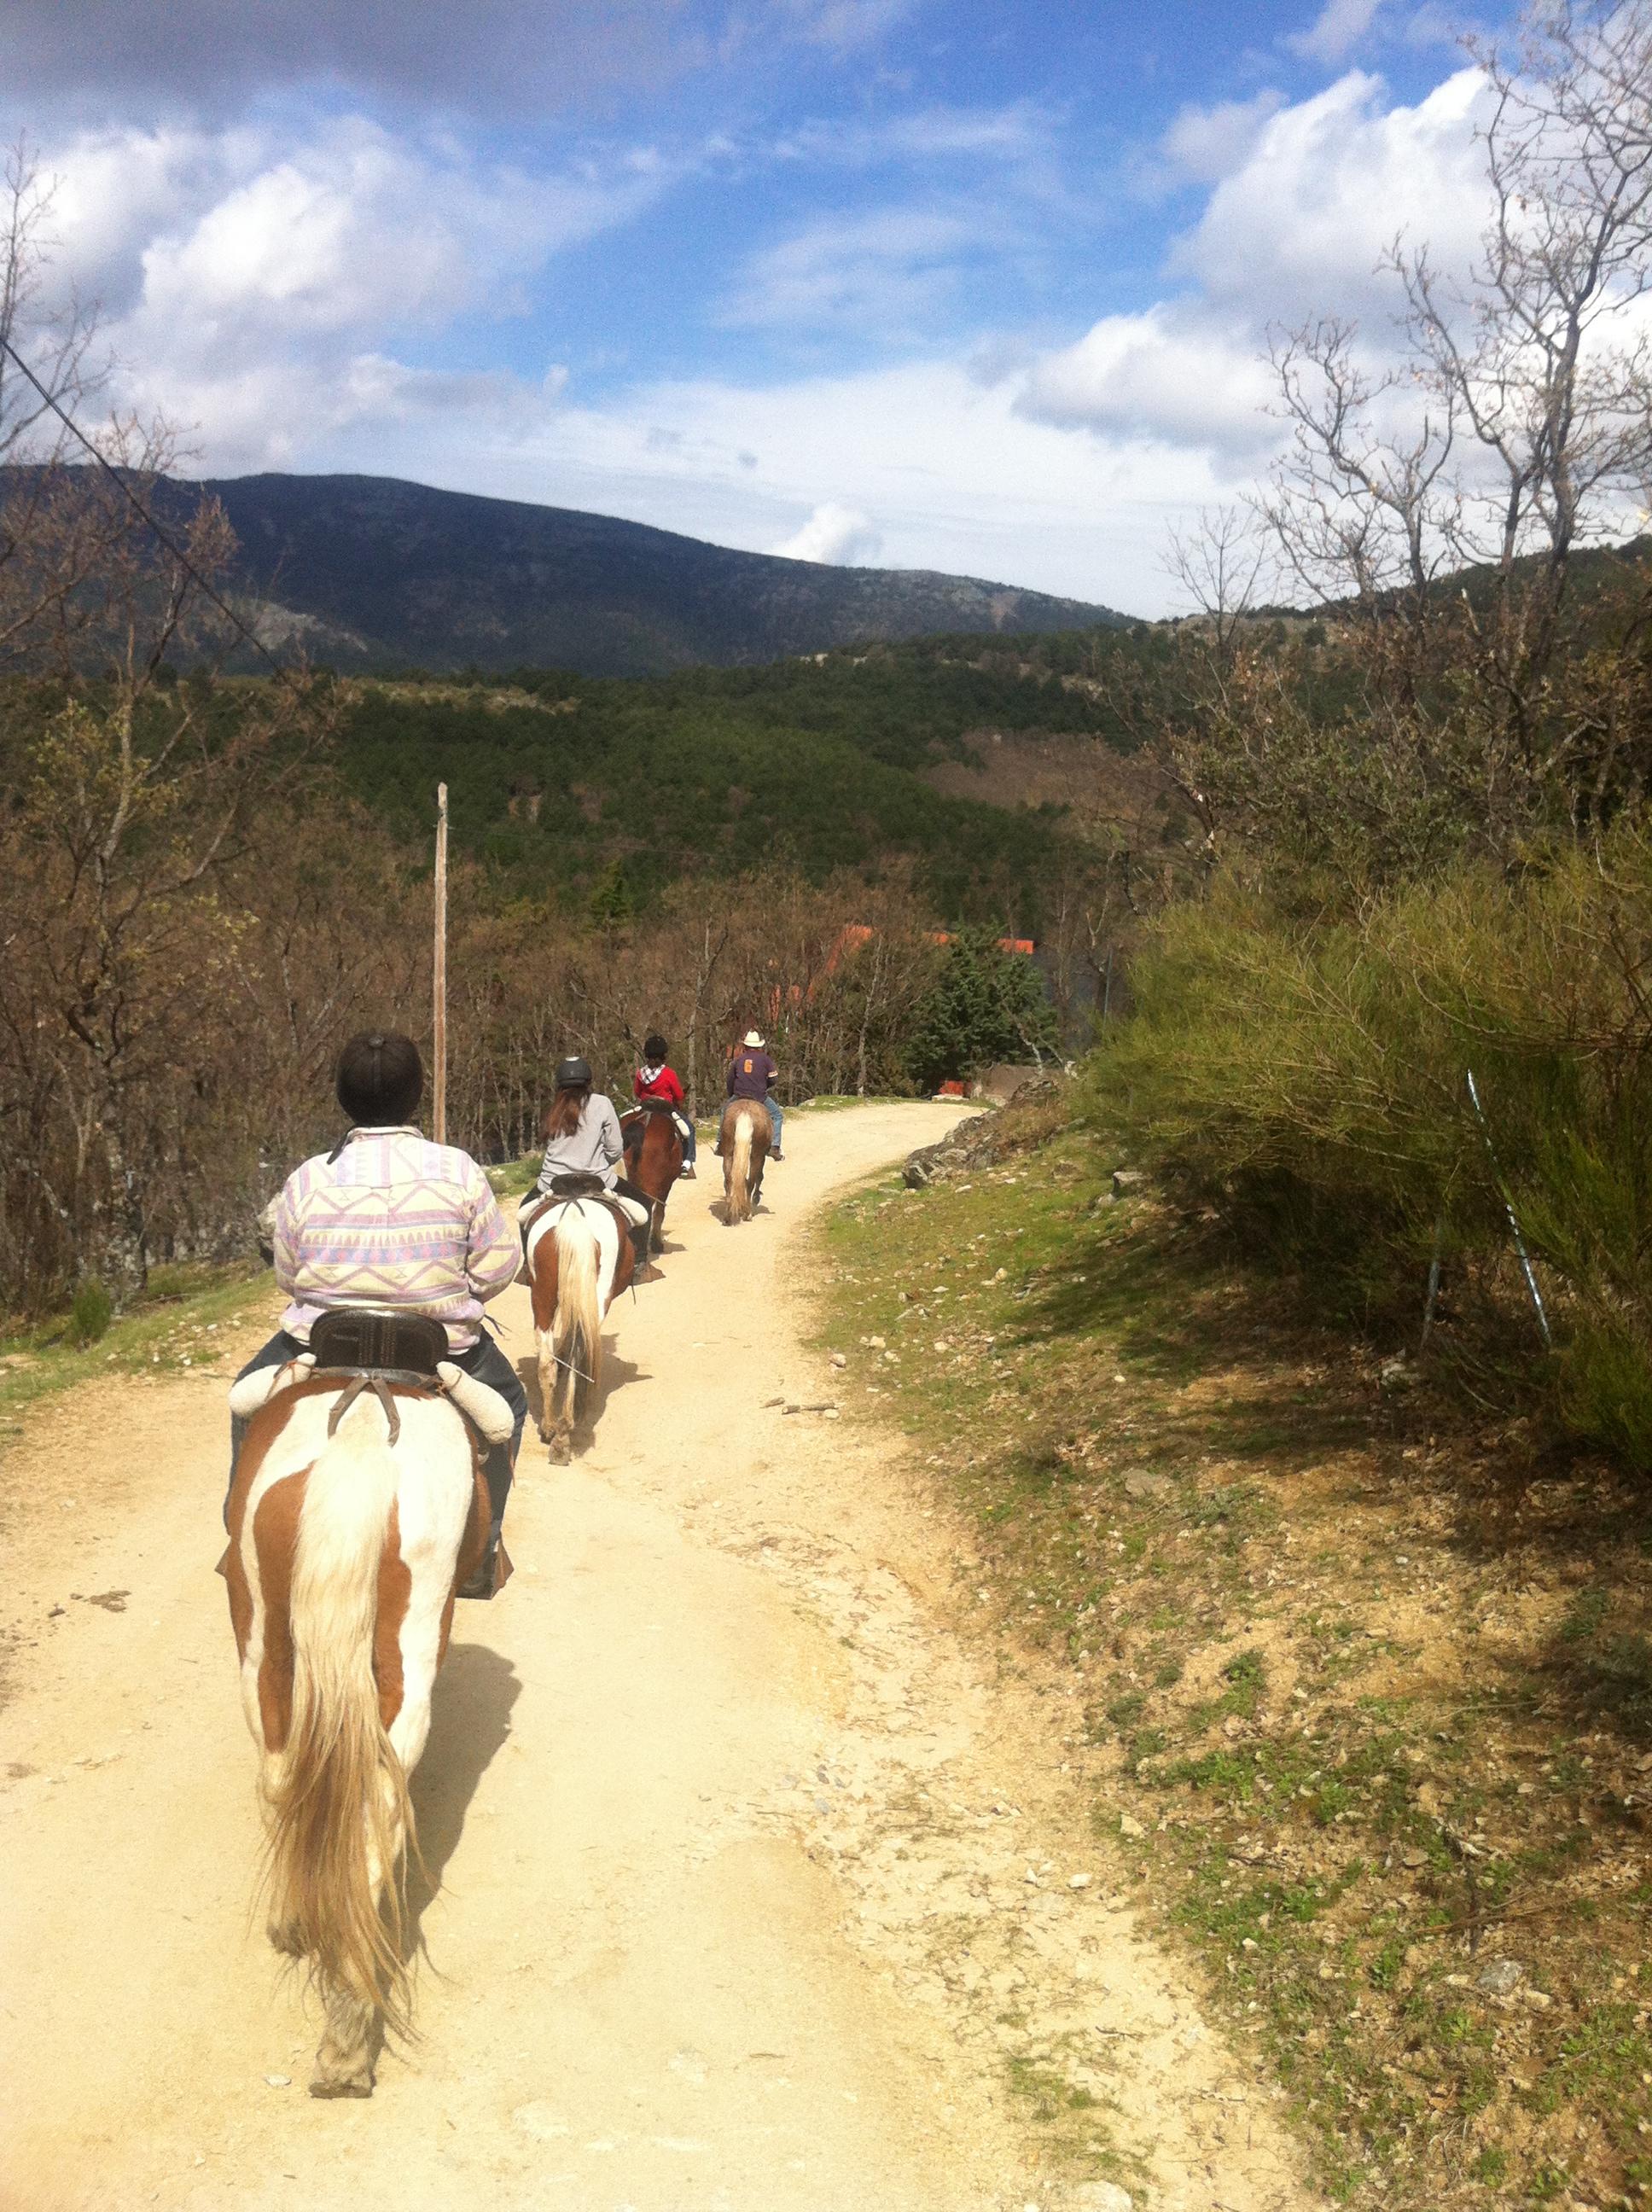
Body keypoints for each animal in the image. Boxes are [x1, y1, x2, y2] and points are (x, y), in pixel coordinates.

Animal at [223, 1318, 510, 2097]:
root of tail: (358, 1444)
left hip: (263, 1635)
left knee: (282, 1767)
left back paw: (297, 1920)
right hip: (408, 1641)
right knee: (378, 1796)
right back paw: (350, 2036)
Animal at [524, 1176, 641, 1469]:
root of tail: (574, 1217)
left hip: (541, 1295)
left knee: (547, 1362)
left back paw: (550, 1428)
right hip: (598, 1296)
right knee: (581, 1352)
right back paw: (564, 1434)